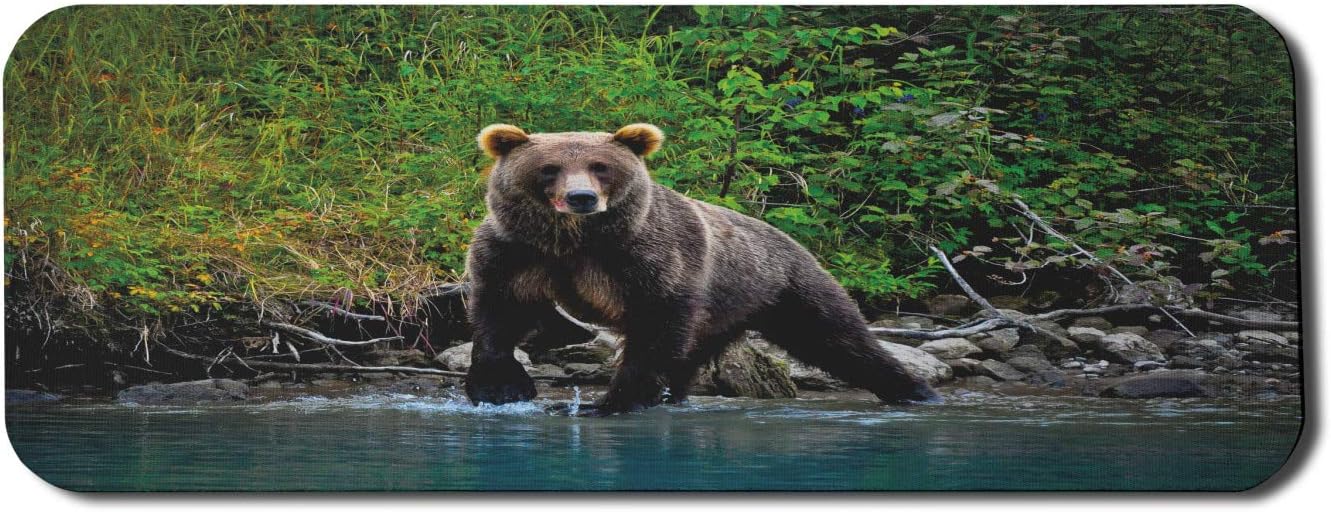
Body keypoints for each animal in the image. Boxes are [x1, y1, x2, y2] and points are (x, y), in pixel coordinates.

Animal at [464, 122, 940, 414]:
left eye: (601, 167)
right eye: (550, 169)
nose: (582, 198)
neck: (574, 242)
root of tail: (791, 240)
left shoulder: (646, 260)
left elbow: (653, 328)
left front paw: (611, 402)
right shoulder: (518, 253)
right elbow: (499, 313)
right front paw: (501, 387)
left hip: (782, 287)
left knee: (836, 337)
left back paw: (917, 391)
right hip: (723, 310)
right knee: (693, 355)